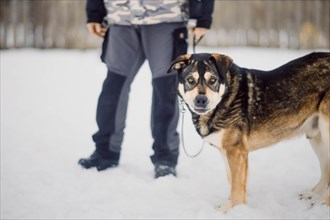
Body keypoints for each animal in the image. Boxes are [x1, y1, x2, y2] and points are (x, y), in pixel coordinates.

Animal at [168, 52, 330, 212]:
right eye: (190, 80)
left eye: (212, 80)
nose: (201, 100)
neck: (226, 98)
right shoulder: (226, 151)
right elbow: (232, 180)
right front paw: (231, 206)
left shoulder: (237, 151)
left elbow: (237, 187)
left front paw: (230, 210)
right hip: (316, 136)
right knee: (326, 170)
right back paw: (311, 194)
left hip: (326, 130)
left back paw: (321, 203)